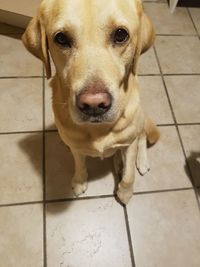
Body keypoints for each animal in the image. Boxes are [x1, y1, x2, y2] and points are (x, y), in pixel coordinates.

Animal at [21, 0, 159, 205]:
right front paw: (79, 182)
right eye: (61, 38)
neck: (99, 130)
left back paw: (139, 161)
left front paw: (125, 192)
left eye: (121, 34)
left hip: (141, 120)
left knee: (141, 137)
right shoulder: (76, 148)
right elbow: (79, 165)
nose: (94, 104)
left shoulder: (129, 141)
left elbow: (129, 175)